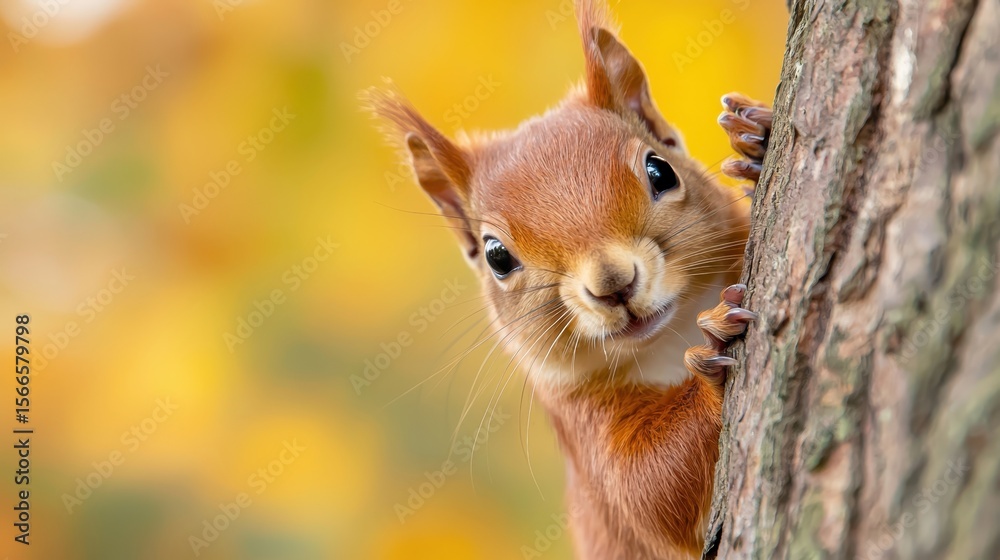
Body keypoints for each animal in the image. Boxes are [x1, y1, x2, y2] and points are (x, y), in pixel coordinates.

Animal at [365, 0, 773, 557]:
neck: (669, 337)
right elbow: (651, 486)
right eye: (496, 256)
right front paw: (712, 355)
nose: (614, 284)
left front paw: (752, 144)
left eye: (661, 170)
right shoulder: (581, 426)